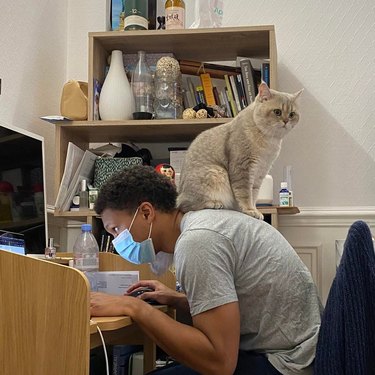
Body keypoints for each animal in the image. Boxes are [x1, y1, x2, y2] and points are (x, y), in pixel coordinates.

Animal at [178, 81, 304, 219]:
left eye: (292, 114)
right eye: (277, 112)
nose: (286, 121)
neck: (268, 140)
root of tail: (179, 194)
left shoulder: (260, 173)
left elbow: (253, 195)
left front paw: (254, 210)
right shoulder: (242, 168)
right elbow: (245, 193)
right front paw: (249, 210)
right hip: (216, 172)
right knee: (186, 206)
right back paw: (214, 203)